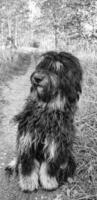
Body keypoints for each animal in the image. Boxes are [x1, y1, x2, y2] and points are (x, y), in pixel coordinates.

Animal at [5, 51, 82, 192]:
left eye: (57, 69)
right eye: (42, 66)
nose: (37, 78)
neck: (48, 107)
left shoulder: (55, 144)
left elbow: (49, 166)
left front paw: (49, 182)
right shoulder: (27, 139)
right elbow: (27, 165)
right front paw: (28, 183)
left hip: (69, 156)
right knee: (18, 158)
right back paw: (13, 164)